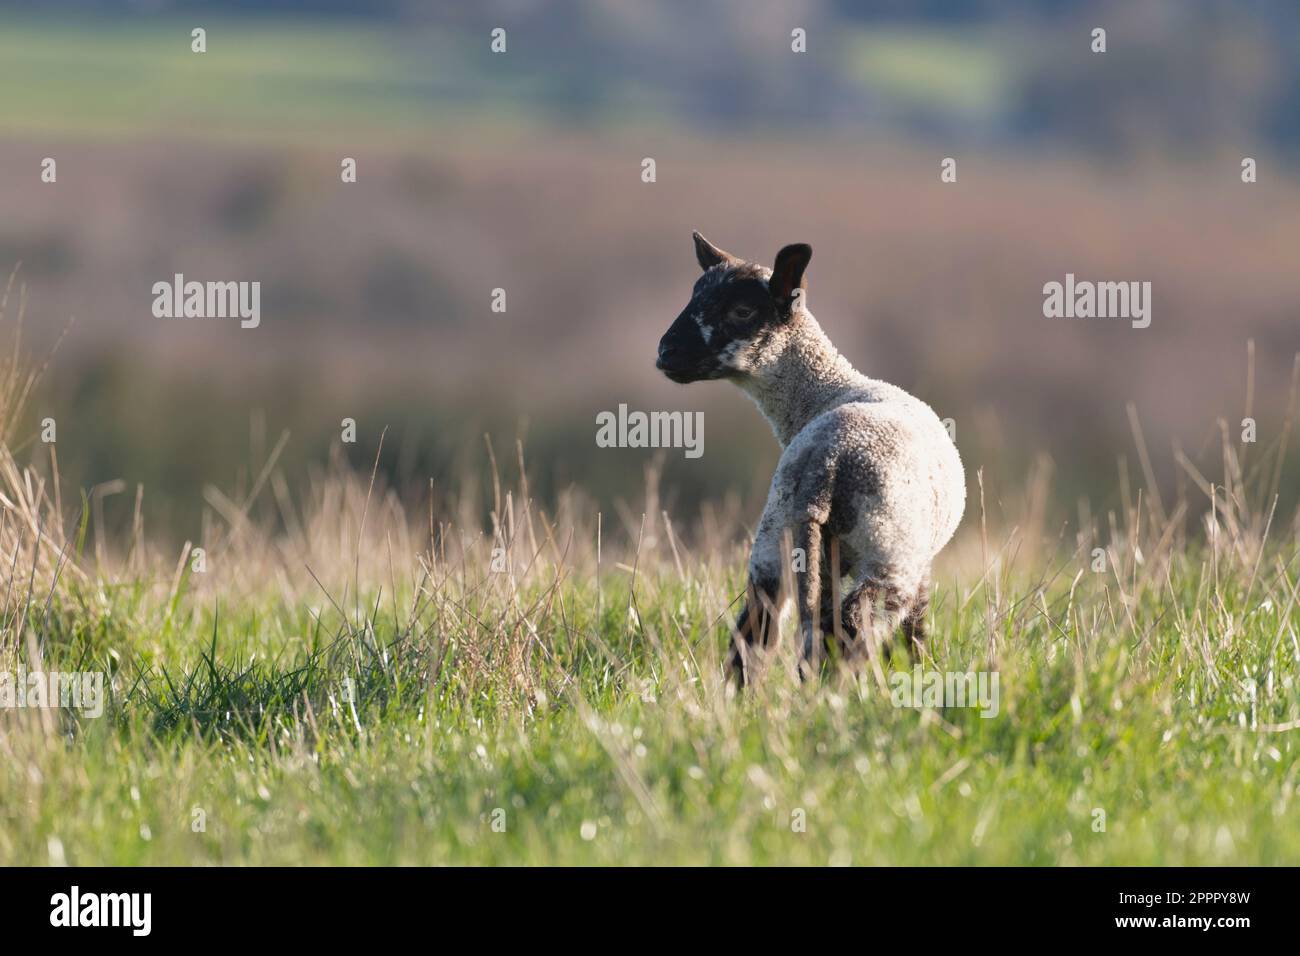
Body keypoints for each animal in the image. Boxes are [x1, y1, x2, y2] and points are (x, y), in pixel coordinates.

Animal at [660, 231, 967, 686]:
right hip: (889, 550)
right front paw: (920, 671)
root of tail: (826, 465)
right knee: (853, 625)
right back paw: (837, 693)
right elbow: (914, 632)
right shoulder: (921, 561)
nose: (665, 352)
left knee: (759, 631)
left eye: (742, 310)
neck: (825, 392)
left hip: (777, 539)